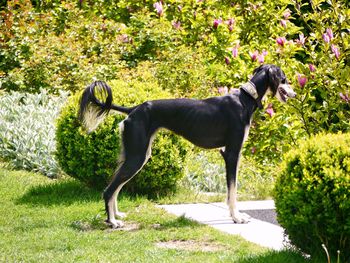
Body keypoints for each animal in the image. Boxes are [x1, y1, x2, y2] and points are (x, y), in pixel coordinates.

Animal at [78, 64, 296, 229]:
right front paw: (237, 217)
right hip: (137, 157)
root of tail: (134, 110)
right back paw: (111, 222)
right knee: (109, 189)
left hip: (137, 154)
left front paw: (236, 214)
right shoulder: (231, 153)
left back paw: (117, 215)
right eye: (284, 79)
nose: (294, 94)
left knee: (116, 185)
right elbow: (232, 191)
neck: (245, 98)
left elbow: (231, 191)